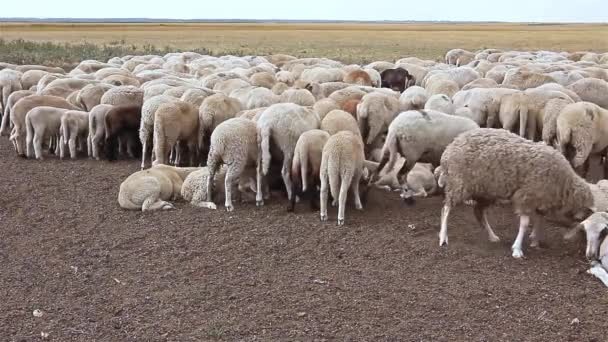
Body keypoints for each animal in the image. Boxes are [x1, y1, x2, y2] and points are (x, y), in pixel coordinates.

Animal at [436, 127, 592, 256]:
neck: (564, 183)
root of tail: (450, 147)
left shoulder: (539, 198)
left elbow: (540, 220)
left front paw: (535, 240)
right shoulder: (526, 196)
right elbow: (524, 223)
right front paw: (517, 249)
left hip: (485, 191)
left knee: (478, 212)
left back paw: (492, 236)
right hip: (459, 182)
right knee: (446, 208)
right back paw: (443, 237)